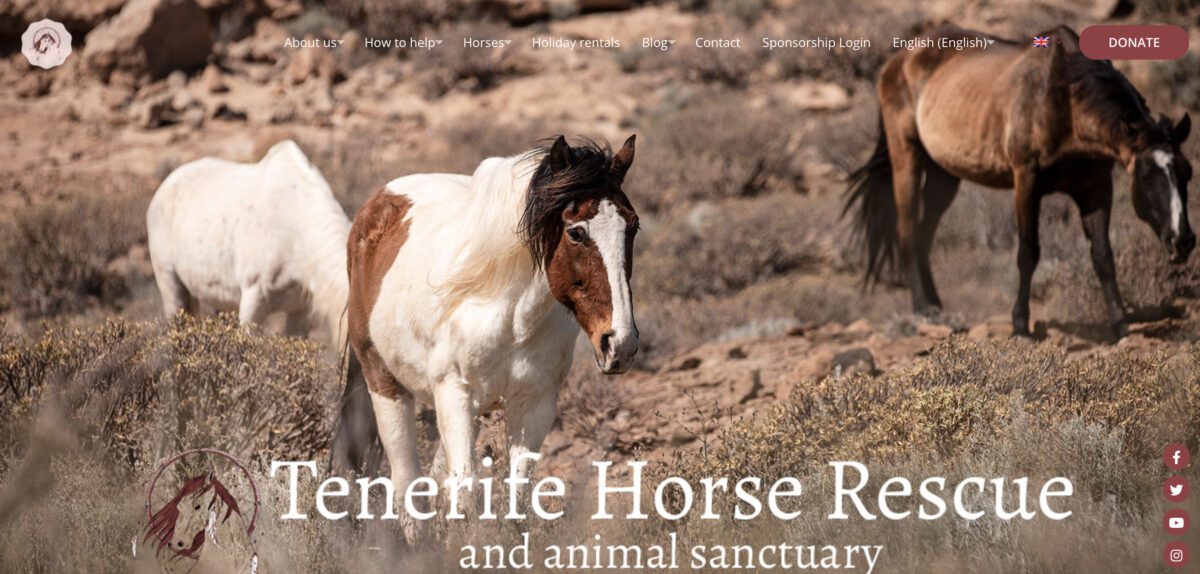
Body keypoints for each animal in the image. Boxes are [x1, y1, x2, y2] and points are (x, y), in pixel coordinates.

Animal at [334, 135, 639, 536]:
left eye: (633, 226)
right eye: (576, 232)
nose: (620, 343)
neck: (511, 316)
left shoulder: (535, 403)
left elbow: (516, 499)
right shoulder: (454, 392)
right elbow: (465, 495)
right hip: (385, 384)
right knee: (406, 484)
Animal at [845, 25, 1193, 338]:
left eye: (1187, 172)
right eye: (1146, 176)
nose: (1183, 240)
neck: (1064, 101)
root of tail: (900, 58)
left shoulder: (1096, 188)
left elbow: (1103, 255)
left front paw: (1120, 326)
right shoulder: (1027, 183)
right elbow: (1028, 253)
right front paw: (1020, 325)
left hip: (944, 175)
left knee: (923, 234)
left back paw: (935, 307)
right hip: (907, 156)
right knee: (907, 231)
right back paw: (922, 310)